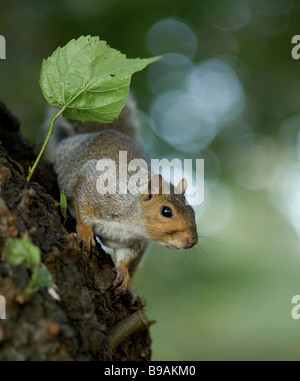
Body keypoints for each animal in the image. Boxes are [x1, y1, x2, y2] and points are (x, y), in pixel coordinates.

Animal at [54, 94, 198, 294]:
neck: (132, 223)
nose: (192, 241)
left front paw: (124, 274)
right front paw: (85, 234)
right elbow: (82, 208)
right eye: (166, 212)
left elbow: (126, 257)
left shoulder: (133, 243)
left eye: (193, 211)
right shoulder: (94, 187)